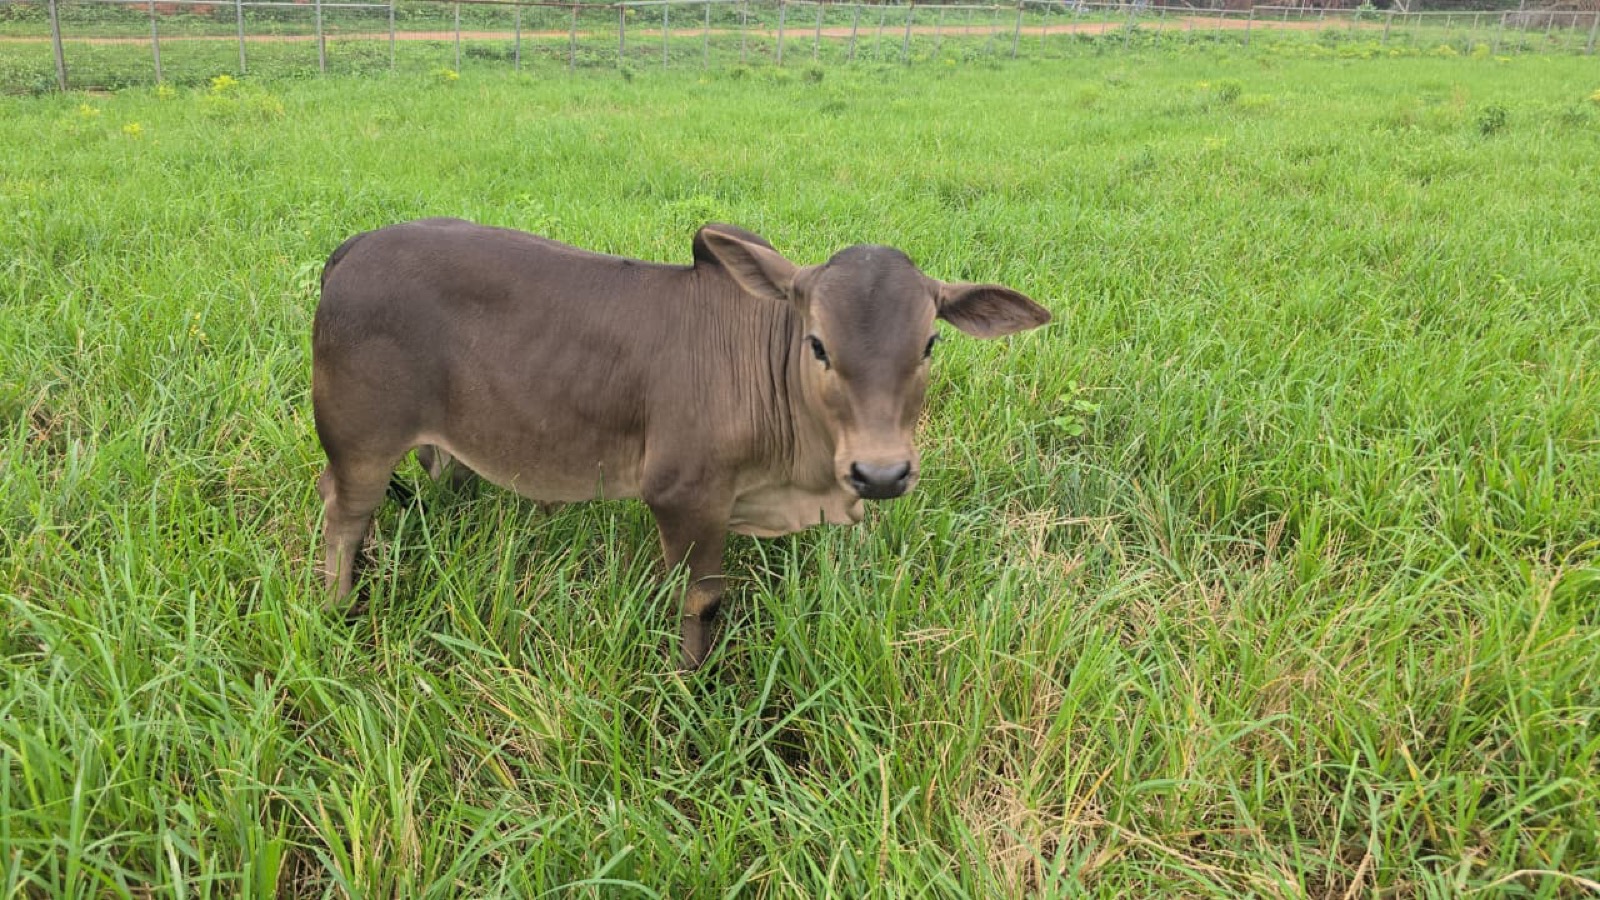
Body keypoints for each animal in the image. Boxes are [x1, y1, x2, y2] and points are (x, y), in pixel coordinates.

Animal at [312, 218, 1050, 669]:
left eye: (929, 343)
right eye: (818, 345)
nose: (880, 473)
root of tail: (353, 249)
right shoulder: (683, 495)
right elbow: (700, 601)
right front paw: (687, 678)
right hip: (358, 440)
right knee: (342, 518)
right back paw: (338, 607)